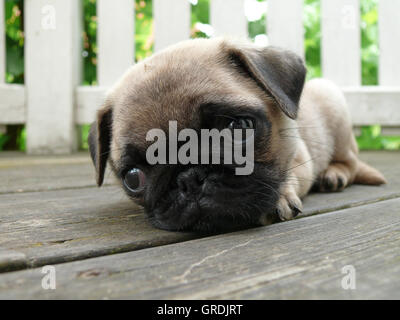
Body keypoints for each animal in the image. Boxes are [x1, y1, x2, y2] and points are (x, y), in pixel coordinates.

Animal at [88, 38, 388, 231]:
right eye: (133, 178)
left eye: (239, 128)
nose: (189, 178)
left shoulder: (300, 156)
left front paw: (280, 197)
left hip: (334, 106)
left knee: (349, 162)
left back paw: (333, 174)